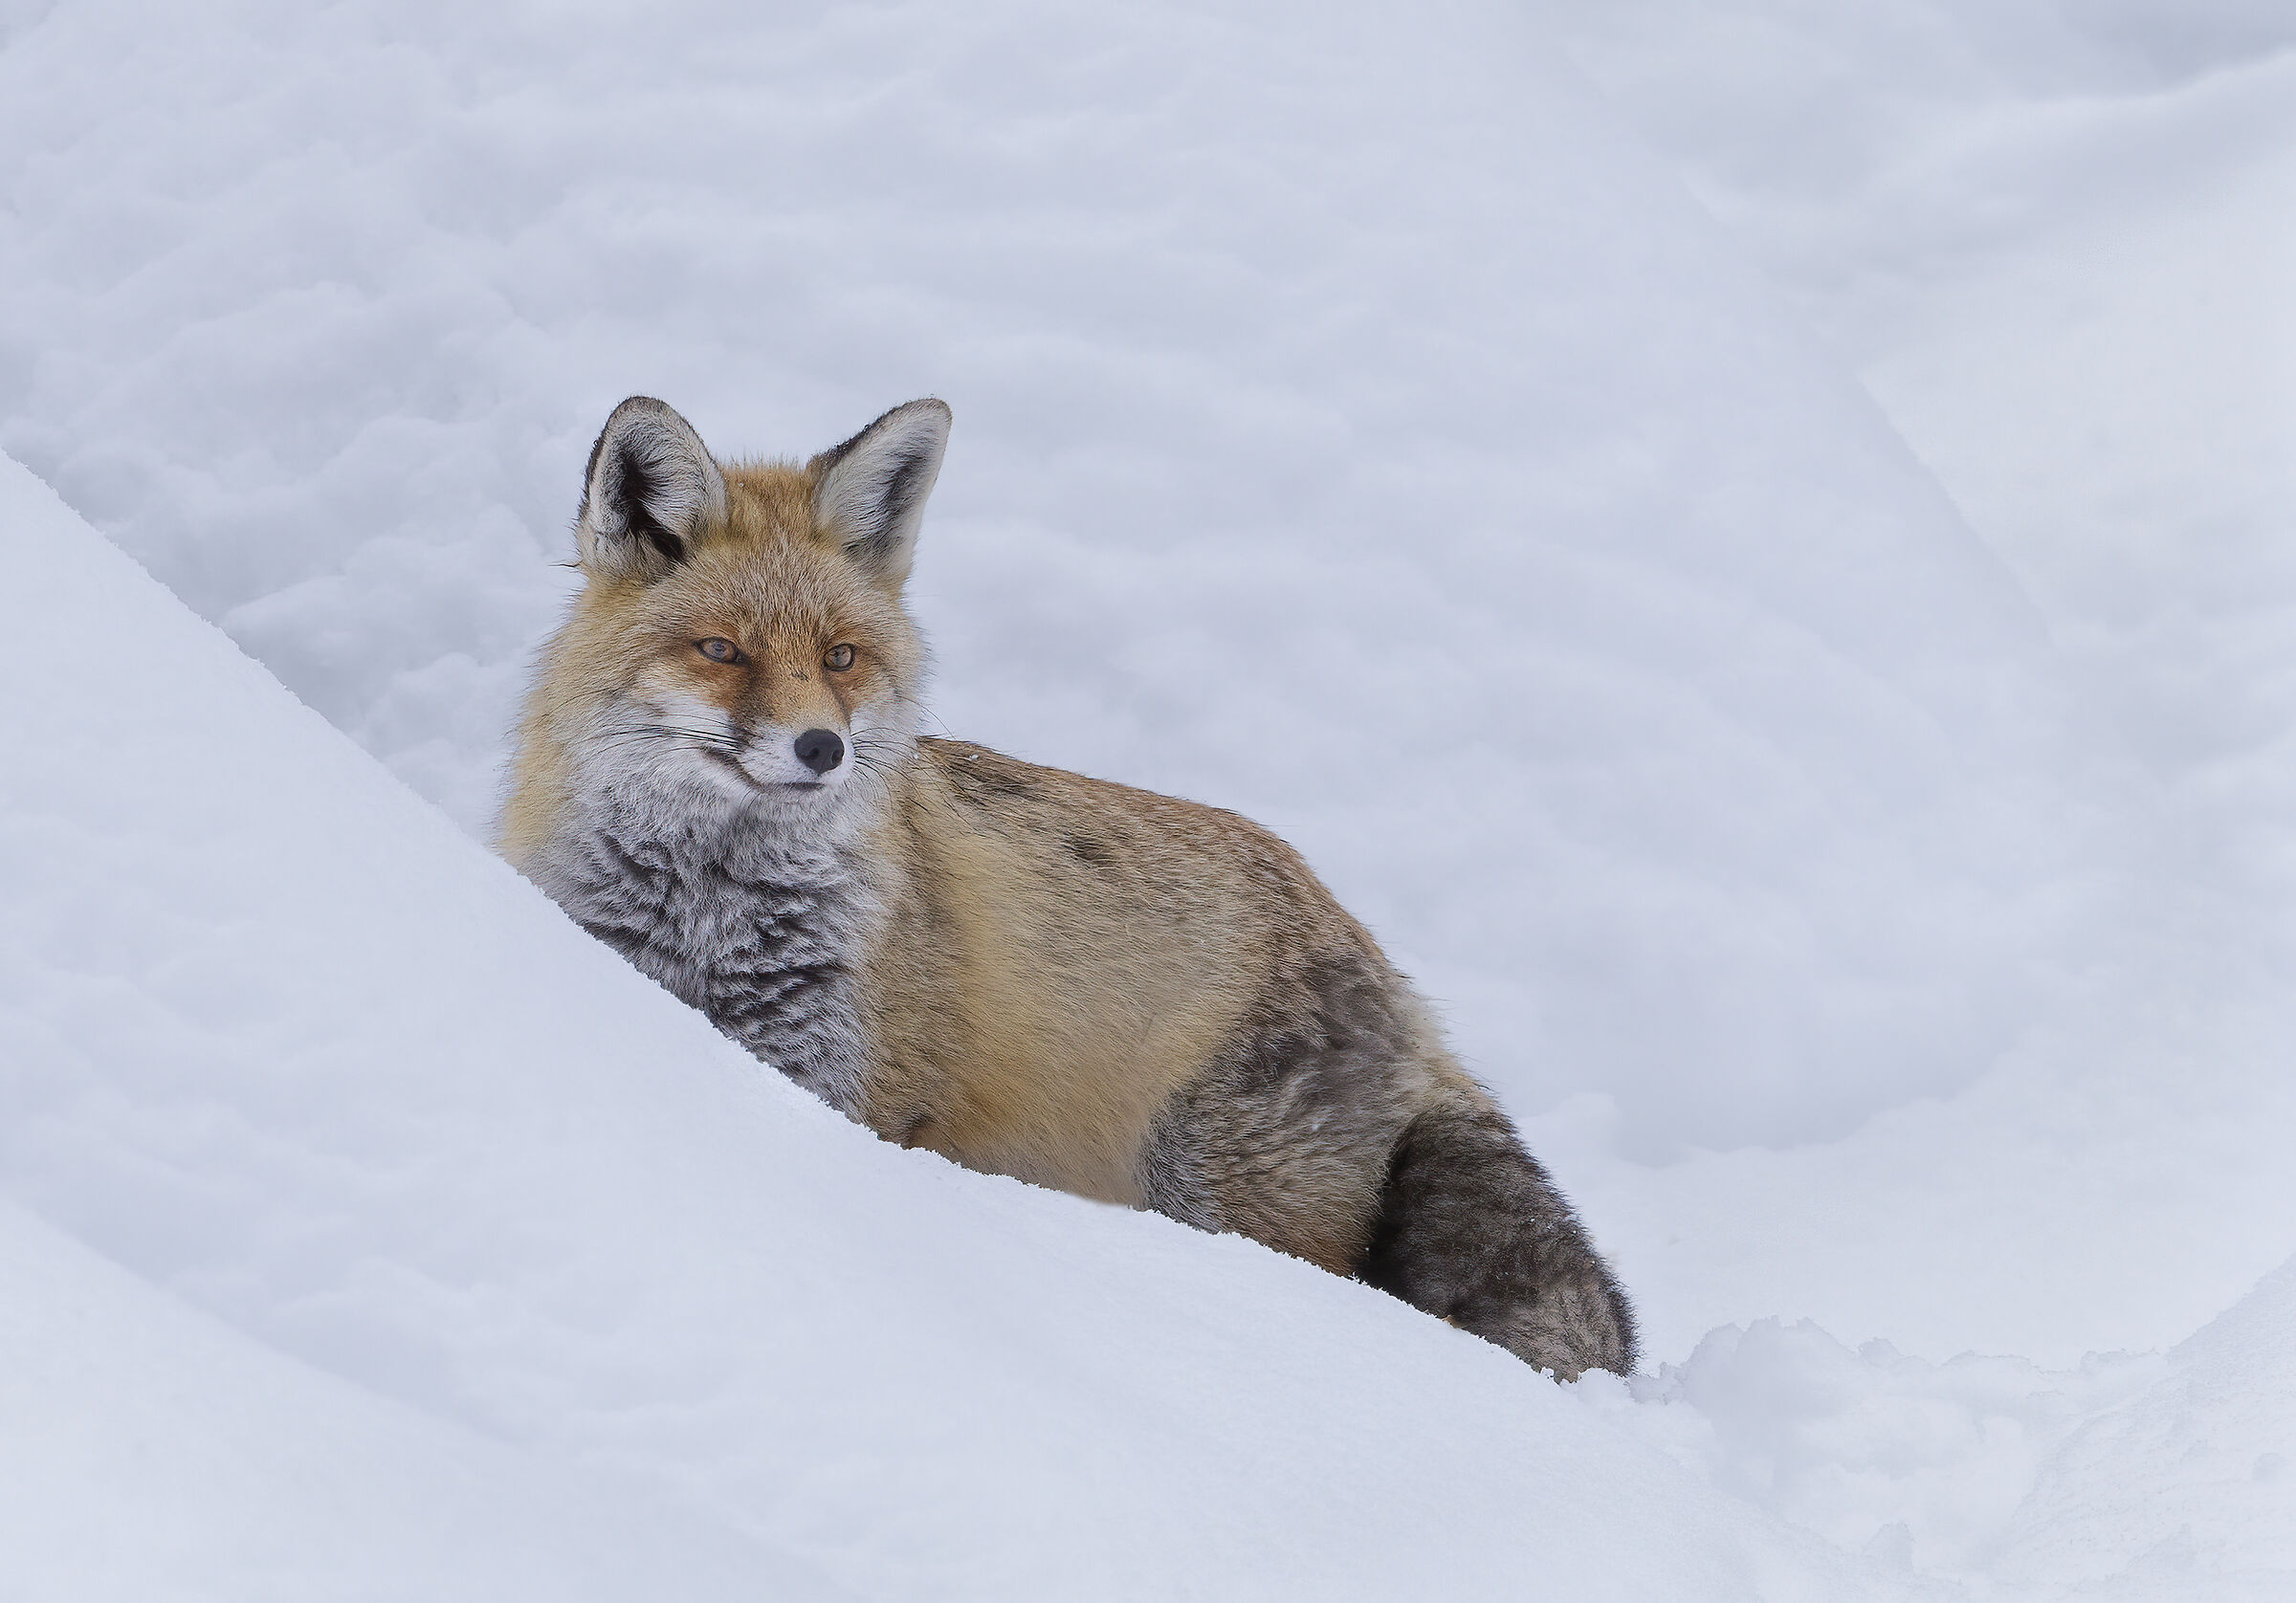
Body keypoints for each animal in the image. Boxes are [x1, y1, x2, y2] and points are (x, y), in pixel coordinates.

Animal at [501, 395, 1637, 1378]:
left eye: (842, 657)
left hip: (1211, 1185)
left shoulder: (858, 1090)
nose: (822, 748)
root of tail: (1384, 966)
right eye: (722, 651)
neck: (704, 916)